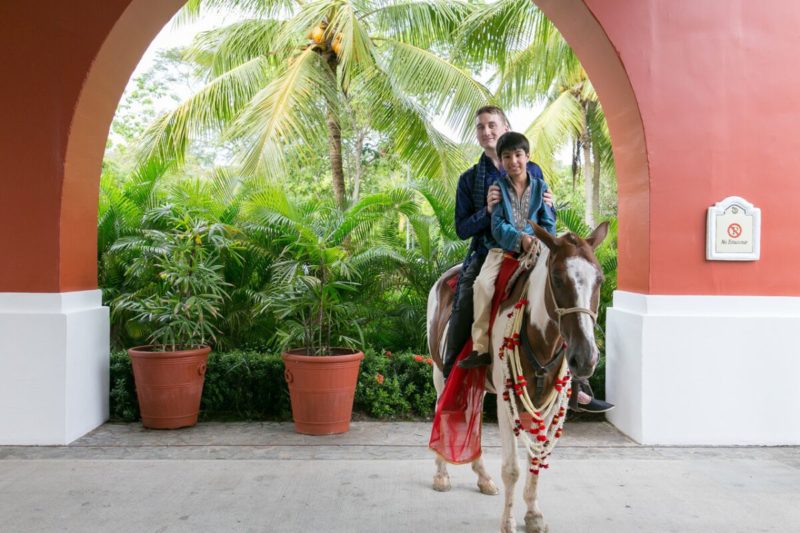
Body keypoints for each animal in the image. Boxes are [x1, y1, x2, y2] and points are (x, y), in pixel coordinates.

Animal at [428, 220, 608, 532]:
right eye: (557, 279)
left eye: (599, 279)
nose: (586, 358)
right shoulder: (506, 401)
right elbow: (512, 468)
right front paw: (509, 521)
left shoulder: (547, 403)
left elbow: (536, 458)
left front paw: (533, 514)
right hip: (441, 373)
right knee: (443, 408)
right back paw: (441, 473)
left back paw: (482, 476)